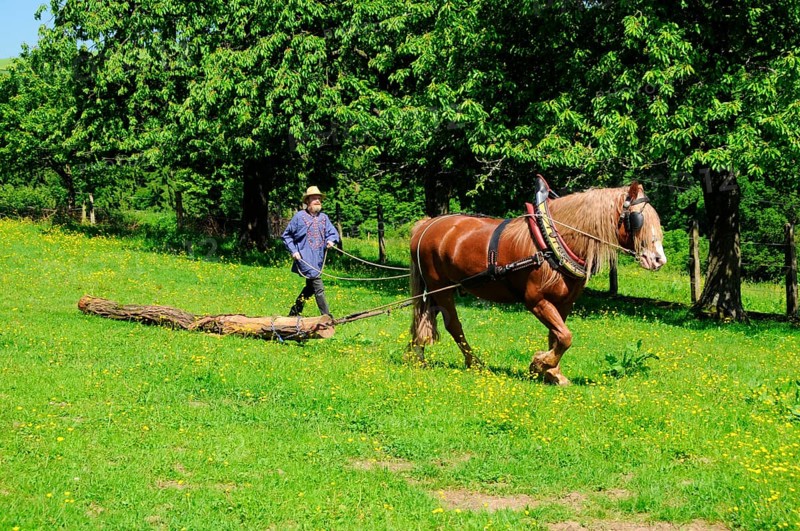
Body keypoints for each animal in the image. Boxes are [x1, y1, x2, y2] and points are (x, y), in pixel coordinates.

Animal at [408, 178, 667, 385]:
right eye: (638, 220)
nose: (658, 259)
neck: (553, 242)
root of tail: (425, 225)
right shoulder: (536, 300)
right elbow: (565, 337)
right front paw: (539, 364)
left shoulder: (564, 303)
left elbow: (557, 336)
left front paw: (553, 373)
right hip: (441, 287)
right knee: (453, 325)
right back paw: (474, 363)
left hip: (436, 289)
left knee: (426, 316)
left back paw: (417, 355)